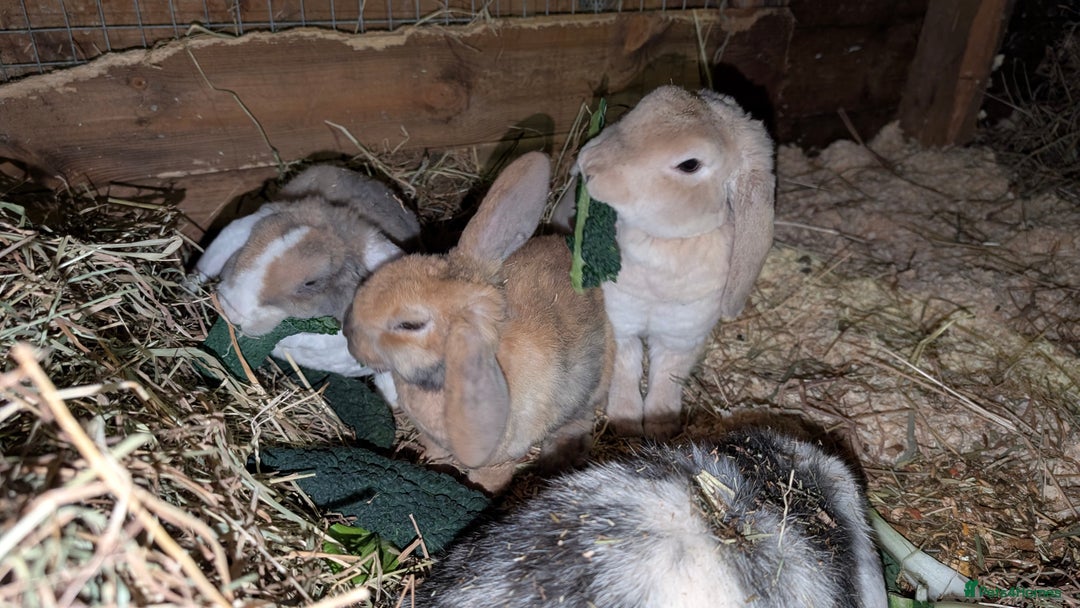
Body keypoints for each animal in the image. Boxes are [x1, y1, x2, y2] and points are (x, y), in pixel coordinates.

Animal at [344, 151, 614, 492]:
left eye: (409, 325)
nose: (348, 334)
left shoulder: (499, 459)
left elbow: (487, 479)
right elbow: (433, 450)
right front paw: (425, 460)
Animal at [572, 86, 775, 438]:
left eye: (689, 164)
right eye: (641, 108)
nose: (588, 165)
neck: (664, 244)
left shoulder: (682, 335)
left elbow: (666, 377)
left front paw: (661, 428)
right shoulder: (620, 321)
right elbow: (625, 370)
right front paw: (625, 423)